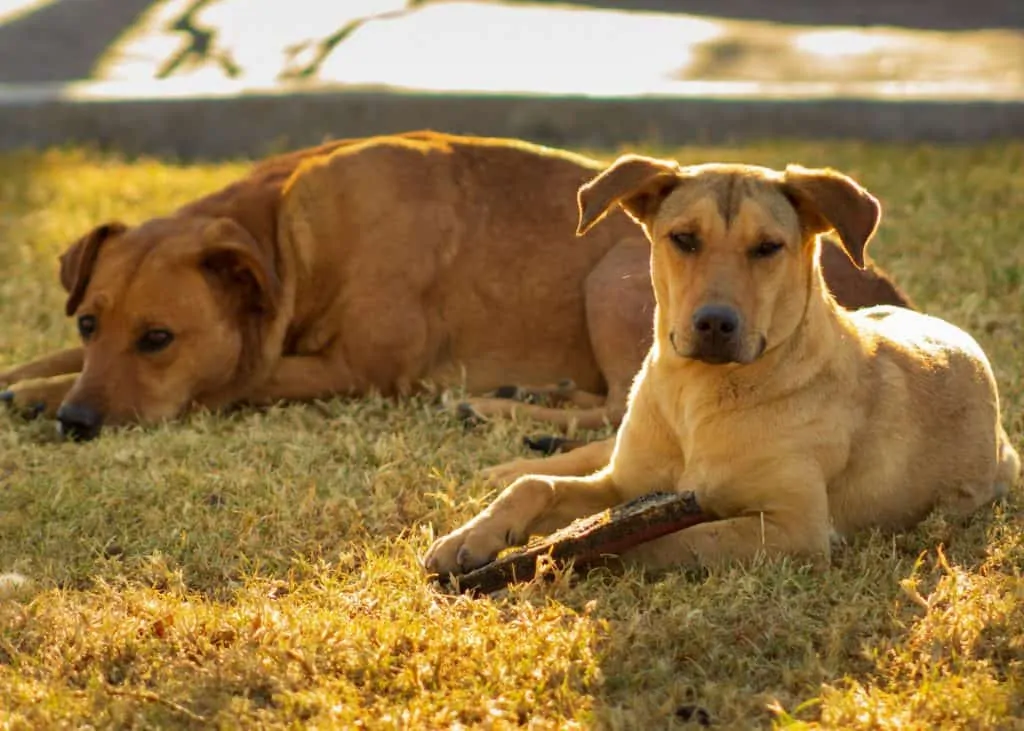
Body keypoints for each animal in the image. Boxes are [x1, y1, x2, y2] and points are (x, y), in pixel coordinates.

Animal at [0, 132, 909, 442]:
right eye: (87, 323)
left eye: (159, 339)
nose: (78, 422)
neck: (288, 244)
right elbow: (39, 361)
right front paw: (28, 382)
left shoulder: (355, 370)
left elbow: (228, 379)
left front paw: (40, 399)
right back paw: (521, 396)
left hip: (616, 275)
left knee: (622, 402)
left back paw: (501, 411)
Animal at [421, 155, 1015, 573]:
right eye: (683, 238)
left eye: (768, 247)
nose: (714, 324)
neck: (697, 395)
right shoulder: (624, 483)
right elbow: (536, 488)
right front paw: (469, 537)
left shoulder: (793, 529)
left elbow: (663, 541)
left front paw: (556, 554)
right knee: (579, 451)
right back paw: (499, 442)